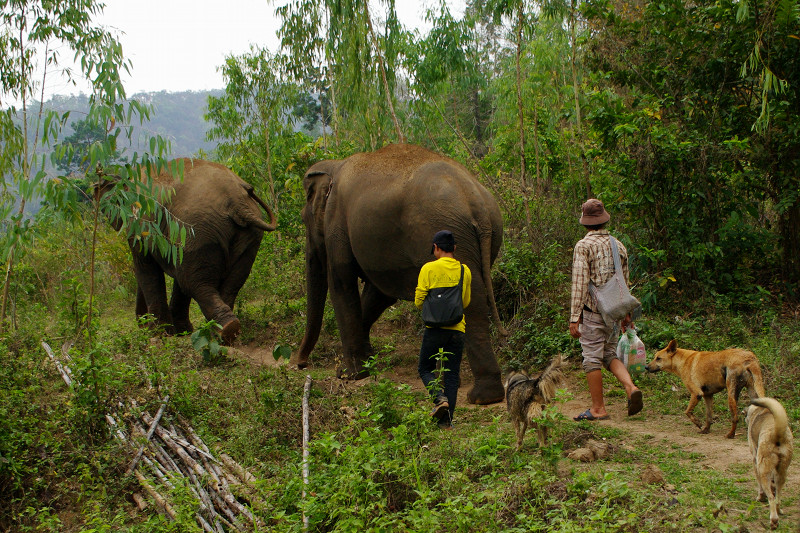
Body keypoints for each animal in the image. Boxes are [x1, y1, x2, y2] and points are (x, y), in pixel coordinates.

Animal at [97, 157, 276, 340]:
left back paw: (224, 329)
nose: (142, 324)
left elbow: (146, 267)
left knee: (191, 282)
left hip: (198, 233)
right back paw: (220, 332)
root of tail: (238, 202)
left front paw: (159, 333)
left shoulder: (141, 225)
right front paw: (178, 331)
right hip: (247, 236)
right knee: (230, 281)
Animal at [294, 141, 506, 404]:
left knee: (466, 300)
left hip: (441, 232)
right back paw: (471, 389)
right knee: (473, 295)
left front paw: (349, 374)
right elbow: (379, 294)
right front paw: (368, 361)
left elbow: (341, 282)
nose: (300, 364)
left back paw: (477, 395)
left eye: (304, 218)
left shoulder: (337, 223)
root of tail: (477, 203)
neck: (334, 164)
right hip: (483, 235)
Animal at [744, 394, 792, 528]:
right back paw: (778, 511)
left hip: (763, 471)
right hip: (782, 473)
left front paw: (760, 497)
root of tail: (777, 432)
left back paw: (773, 520)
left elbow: (760, 487)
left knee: (771, 498)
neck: (760, 410)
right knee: (777, 498)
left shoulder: (755, 461)